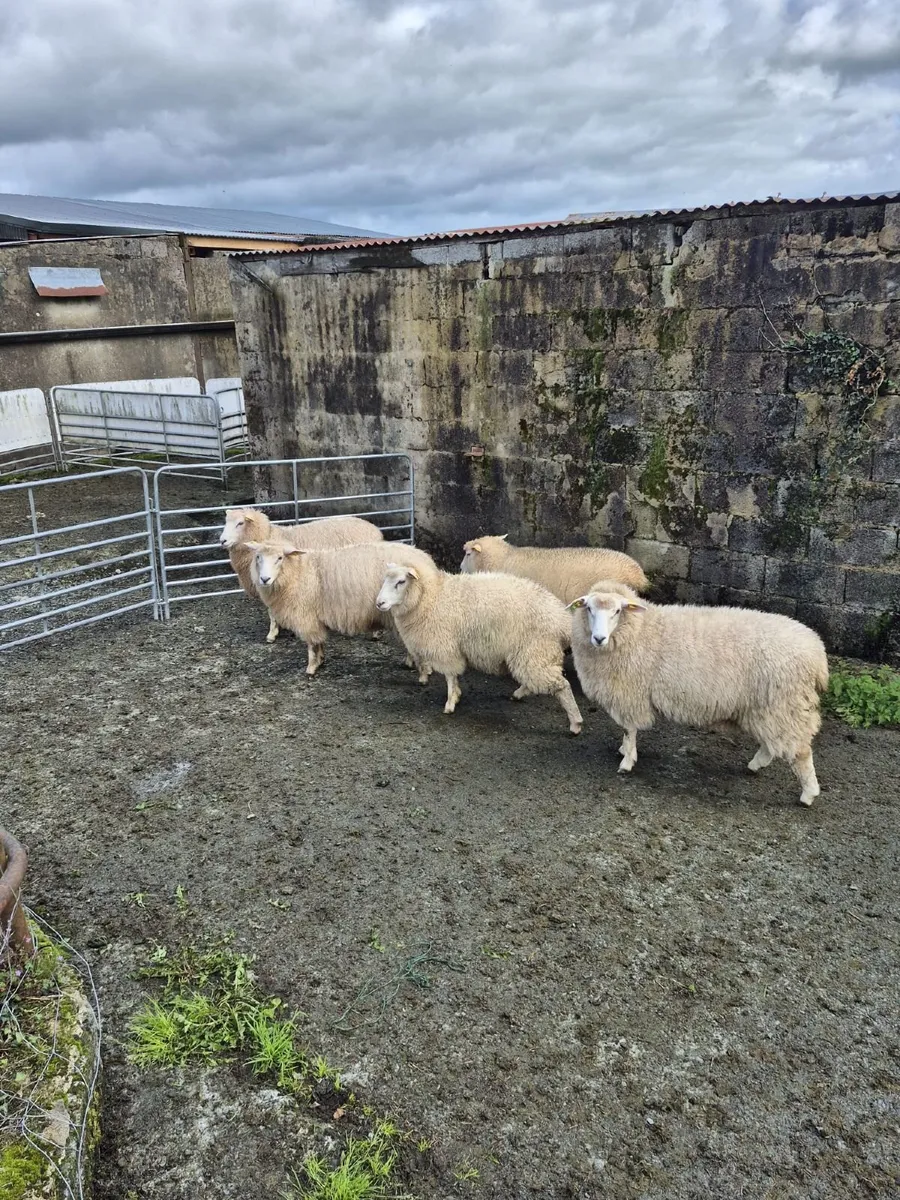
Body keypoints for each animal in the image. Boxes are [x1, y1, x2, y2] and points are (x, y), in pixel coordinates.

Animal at [219, 508, 383, 643]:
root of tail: (375, 530)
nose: (222, 541)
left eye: (240, 523)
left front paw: (272, 634)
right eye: (226, 522)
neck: (268, 535)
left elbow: (271, 611)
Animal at [245, 538, 436, 677]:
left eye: (280, 558)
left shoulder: (307, 617)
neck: (298, 572)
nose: (264, 579)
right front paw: (321, 660)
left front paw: (311, 668)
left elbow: (311, 645)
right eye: (258, 557)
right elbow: (319, 642)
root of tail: (426, 559)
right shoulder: (316, 619)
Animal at [375, 559, 584, 734]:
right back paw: (518, 694)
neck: (431, 596)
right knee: (536, 681)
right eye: (385, 579)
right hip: (533, 654)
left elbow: (450, 676)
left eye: (401, 582)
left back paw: (575, 723)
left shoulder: (445, 647)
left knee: (561, 686)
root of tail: (561, 618)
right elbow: (453, 677)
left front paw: (450, 702)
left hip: (535, 649)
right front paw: (456, 696)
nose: (379, 603)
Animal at [568, 580, 829, 806]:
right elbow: (626, 731)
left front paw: (627, 761)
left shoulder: (630, 694)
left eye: (617, 611)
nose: (599, 638)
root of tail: (817, 653)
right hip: (768, 708)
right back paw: (756, 765)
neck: (641, 629)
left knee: (801, 751)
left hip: (785, 705)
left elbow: (628, 729)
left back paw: (808, 794)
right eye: (589, 608)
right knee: (772, 743)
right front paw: (624, 751)